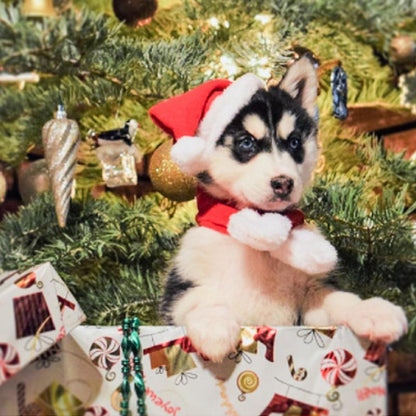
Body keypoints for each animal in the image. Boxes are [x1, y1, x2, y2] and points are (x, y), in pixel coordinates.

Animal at [150, 57, 406, 362]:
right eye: (246, 142)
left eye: (294, 142)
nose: (283, 183)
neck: (258, 235)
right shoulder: (177, 290)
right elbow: (198, 299)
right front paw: (214, 327)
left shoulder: (311, 295)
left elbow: (339, 298)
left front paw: (372, 310)